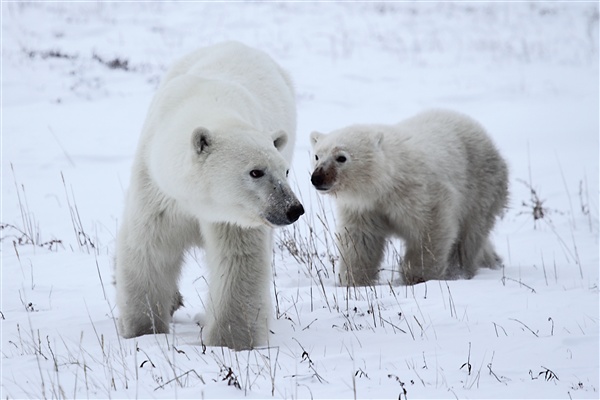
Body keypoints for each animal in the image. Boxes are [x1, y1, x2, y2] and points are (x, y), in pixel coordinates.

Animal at [116, 41, 304, 350]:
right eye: (256, 172)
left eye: (285, 171)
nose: (293, 208)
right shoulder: (158, 190)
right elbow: (150, 247)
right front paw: (143, 329)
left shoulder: (233, 216)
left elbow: (238, 261)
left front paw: (229, 340)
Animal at [312, 108, 508, 286]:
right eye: (317, 156)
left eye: (341, 157)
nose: (317, 178)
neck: (385, 183)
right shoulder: (364, 208)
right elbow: (361, 239)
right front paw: (353, 280)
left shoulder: (421, 193)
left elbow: (431, 230)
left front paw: (418, 277)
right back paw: (493, 260)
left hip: (480, 186)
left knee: (468, 236)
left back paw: (459, 271)